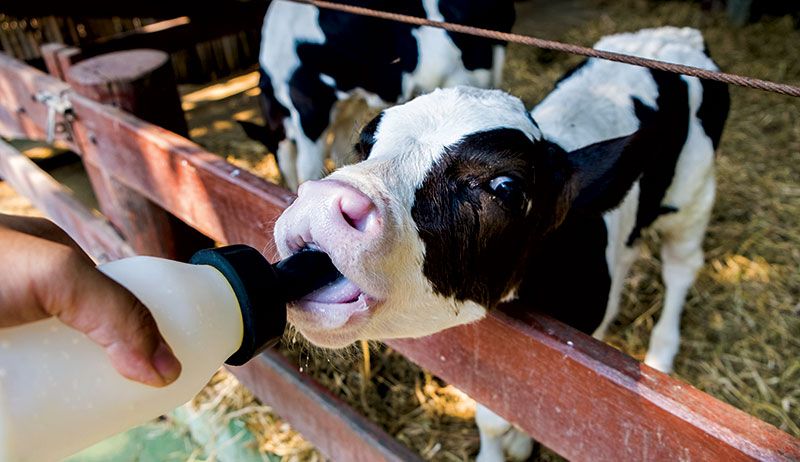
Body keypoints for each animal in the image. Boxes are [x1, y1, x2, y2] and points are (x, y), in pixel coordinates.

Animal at [276, 26, 732, 462]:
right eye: (365, 144)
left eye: (506, 187)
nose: (321, 204)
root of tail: (676, 35)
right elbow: (494, 414)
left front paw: (520, 444)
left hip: (693, 194)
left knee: (681, 268)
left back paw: (662, 352)